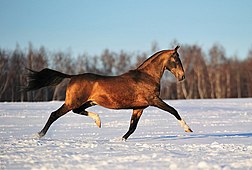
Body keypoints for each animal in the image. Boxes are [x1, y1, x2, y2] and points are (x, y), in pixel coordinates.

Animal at [24, 45, 192, 140]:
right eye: (176, 59)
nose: (182, 76)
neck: (147, 77)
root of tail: (72, 76)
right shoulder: (154, 100)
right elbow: (173, 110)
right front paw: (188, 129)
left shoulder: (139, 107)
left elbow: (132, 127)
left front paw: (120, 140)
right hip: (73, 102)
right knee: (54, 114)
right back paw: (39, 135)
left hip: (88, 102)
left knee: (77, 111)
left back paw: (98, 121)